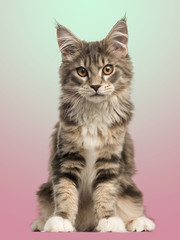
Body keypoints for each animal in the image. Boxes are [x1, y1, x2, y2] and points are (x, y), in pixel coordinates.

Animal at [30, 19, 155, 232]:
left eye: (107, 69)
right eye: (82, 71)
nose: (96, 86)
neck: (94, 115)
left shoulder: (110, 159)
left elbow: (106, 193)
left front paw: (108, 220)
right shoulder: (66, 157)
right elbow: (65, 192)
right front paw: (61, 220)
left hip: (130, 190)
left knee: (131, 206)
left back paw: (139, 222)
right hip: (44, 190)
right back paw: (42, 222)